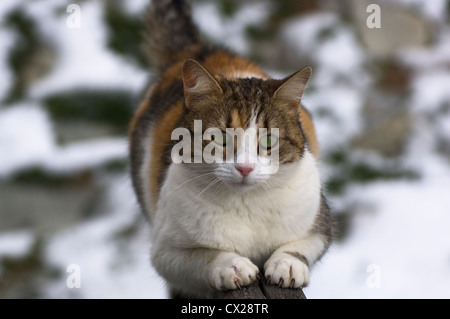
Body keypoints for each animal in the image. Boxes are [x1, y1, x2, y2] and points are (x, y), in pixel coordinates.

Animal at [128, 0, 332, 300]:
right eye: (220, 137)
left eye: (268, 141)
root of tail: (199, 51)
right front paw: (231, 266)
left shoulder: (321, 222)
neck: (246, 206)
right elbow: (203, 256)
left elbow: (303, 244)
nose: (245, 167)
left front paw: (287, 264)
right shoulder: (165, 252)